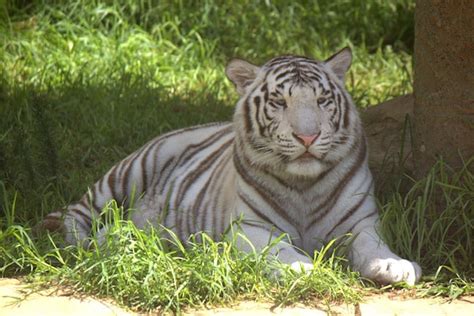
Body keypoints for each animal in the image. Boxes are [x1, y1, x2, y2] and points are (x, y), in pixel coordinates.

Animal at [42, 48, 422, 286]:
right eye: (279, 102)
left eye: (322, 100)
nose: (307, 136)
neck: (304, 186)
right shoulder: (249, 228)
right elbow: (280, 250)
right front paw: (301, 268)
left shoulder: (361, 224)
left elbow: (373, 247)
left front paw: (395, 265)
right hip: (130, 172)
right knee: (76, 212)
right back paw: (85, 243)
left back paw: (121, 238)